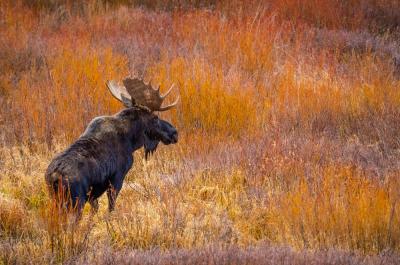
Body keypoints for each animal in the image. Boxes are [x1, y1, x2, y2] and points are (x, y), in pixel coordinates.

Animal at [44, 77, 179, 216]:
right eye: (155, 117)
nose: (174, 132)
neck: (132, 141)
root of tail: (54, 177)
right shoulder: (117, 177)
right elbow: (111, 208)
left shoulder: (94, 194)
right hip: (76, 202)